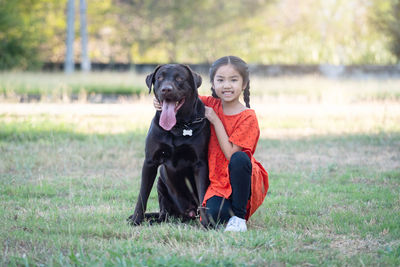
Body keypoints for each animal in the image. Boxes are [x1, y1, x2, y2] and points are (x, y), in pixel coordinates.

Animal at [127, 64, 209, 226]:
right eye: (159, 78)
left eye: (179, 78)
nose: (166, 89)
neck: (178, 126)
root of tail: (188, 213)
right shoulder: (150, 162)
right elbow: (142, 195)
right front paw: (136, 220)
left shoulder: (200, 163)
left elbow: (203, 193)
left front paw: (208, 224)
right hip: (161, 181)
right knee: (164, 214)